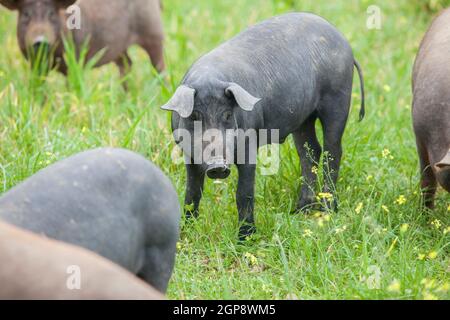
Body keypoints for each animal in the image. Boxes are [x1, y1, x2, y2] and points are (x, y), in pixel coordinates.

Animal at [162, 13, 366, 241]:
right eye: (195, 116)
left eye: (227, 115)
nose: (218, 166)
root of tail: (344, 42)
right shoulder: (188, 153)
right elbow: (192, 192)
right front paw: (185, 232)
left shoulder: (249, 144)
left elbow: (244, 192)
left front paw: (245, 239)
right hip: (303, 117)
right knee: (310, 151)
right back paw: (301, 210)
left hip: (338, 97)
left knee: (333, 151)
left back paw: (327, 210)